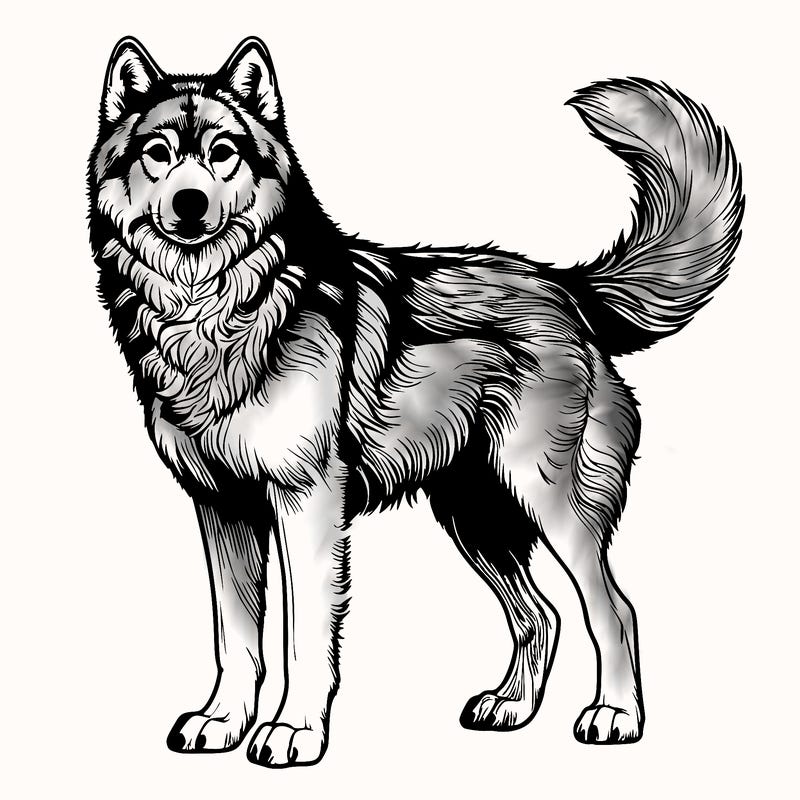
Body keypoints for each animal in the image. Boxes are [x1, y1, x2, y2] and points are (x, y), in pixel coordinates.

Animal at [89, 36, 743, 767]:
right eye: (158, 152)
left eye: (223, 150)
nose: (191, 203)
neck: (211, 310)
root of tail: (565, 286)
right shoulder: (223, 508)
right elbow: (236, 637)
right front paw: (223, 720)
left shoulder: (306, 503)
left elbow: (301, 636)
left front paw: (292, 731)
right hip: (474, 514)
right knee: (540, 614)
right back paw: (511, 706)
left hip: (550, 506)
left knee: (614, 610)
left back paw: (616, 714)